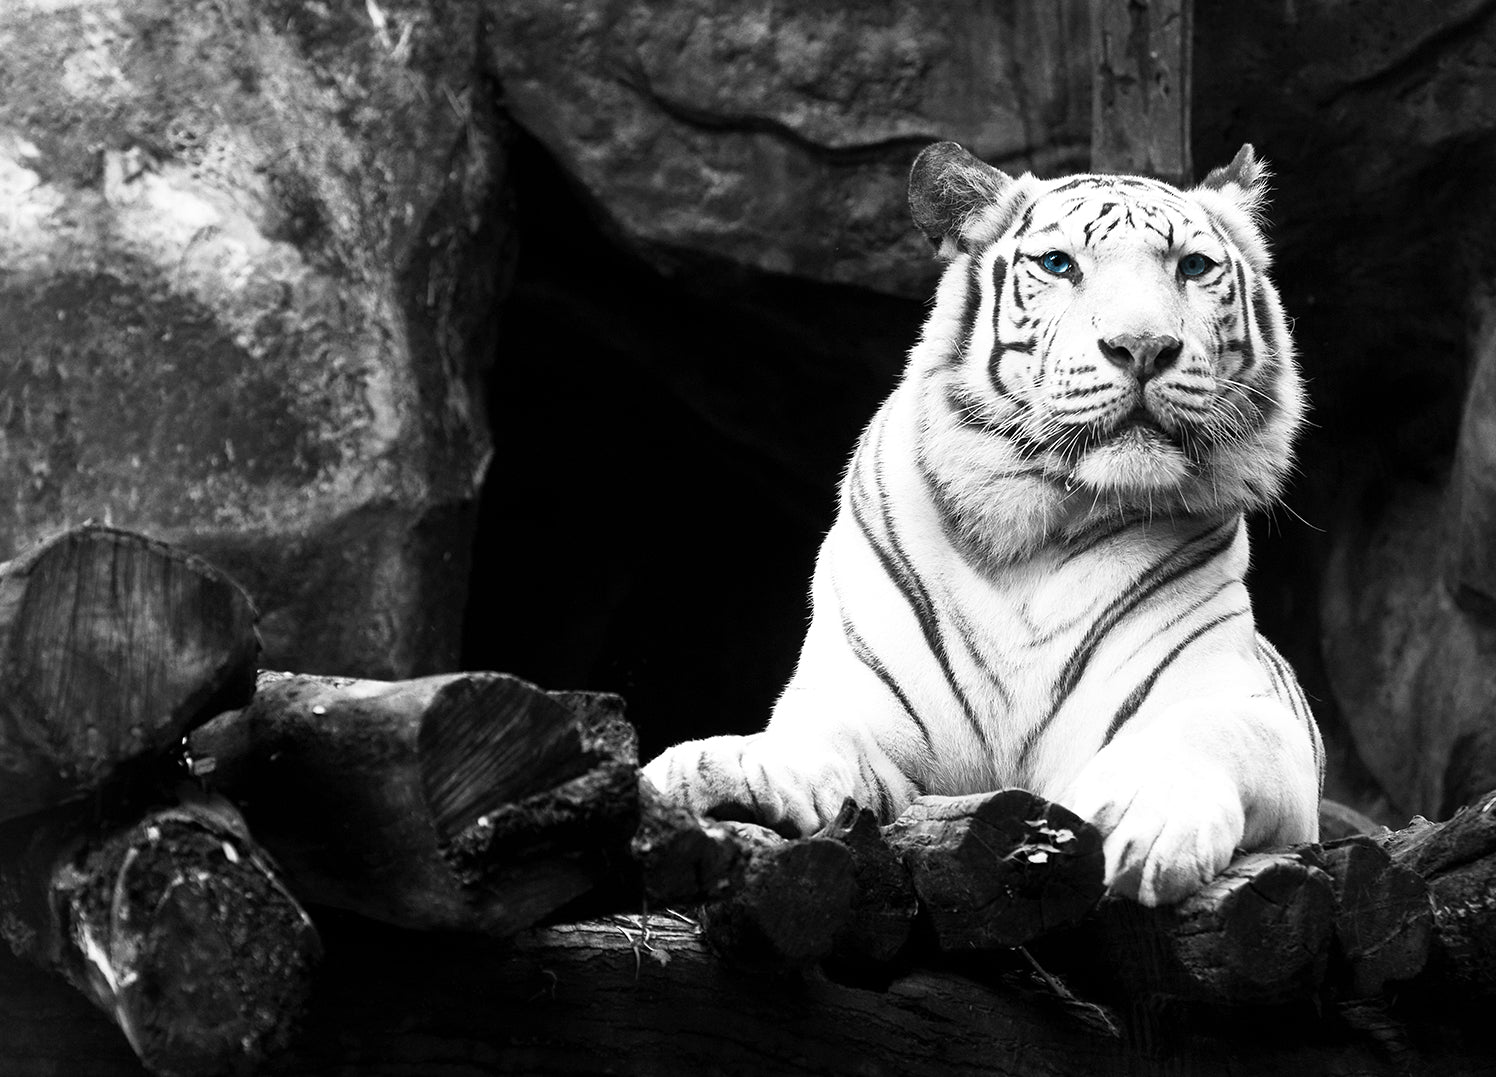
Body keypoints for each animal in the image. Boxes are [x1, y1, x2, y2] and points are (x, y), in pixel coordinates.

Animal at [641, 142, 1324, 907]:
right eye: (1058, 263)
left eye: (1194, 267)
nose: (1144, 346)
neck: (1035, 529)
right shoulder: (860, 707)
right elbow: (807, 742)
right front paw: (706, 774)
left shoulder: (1242, 703)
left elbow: (1206, 731)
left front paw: (1145, 819)